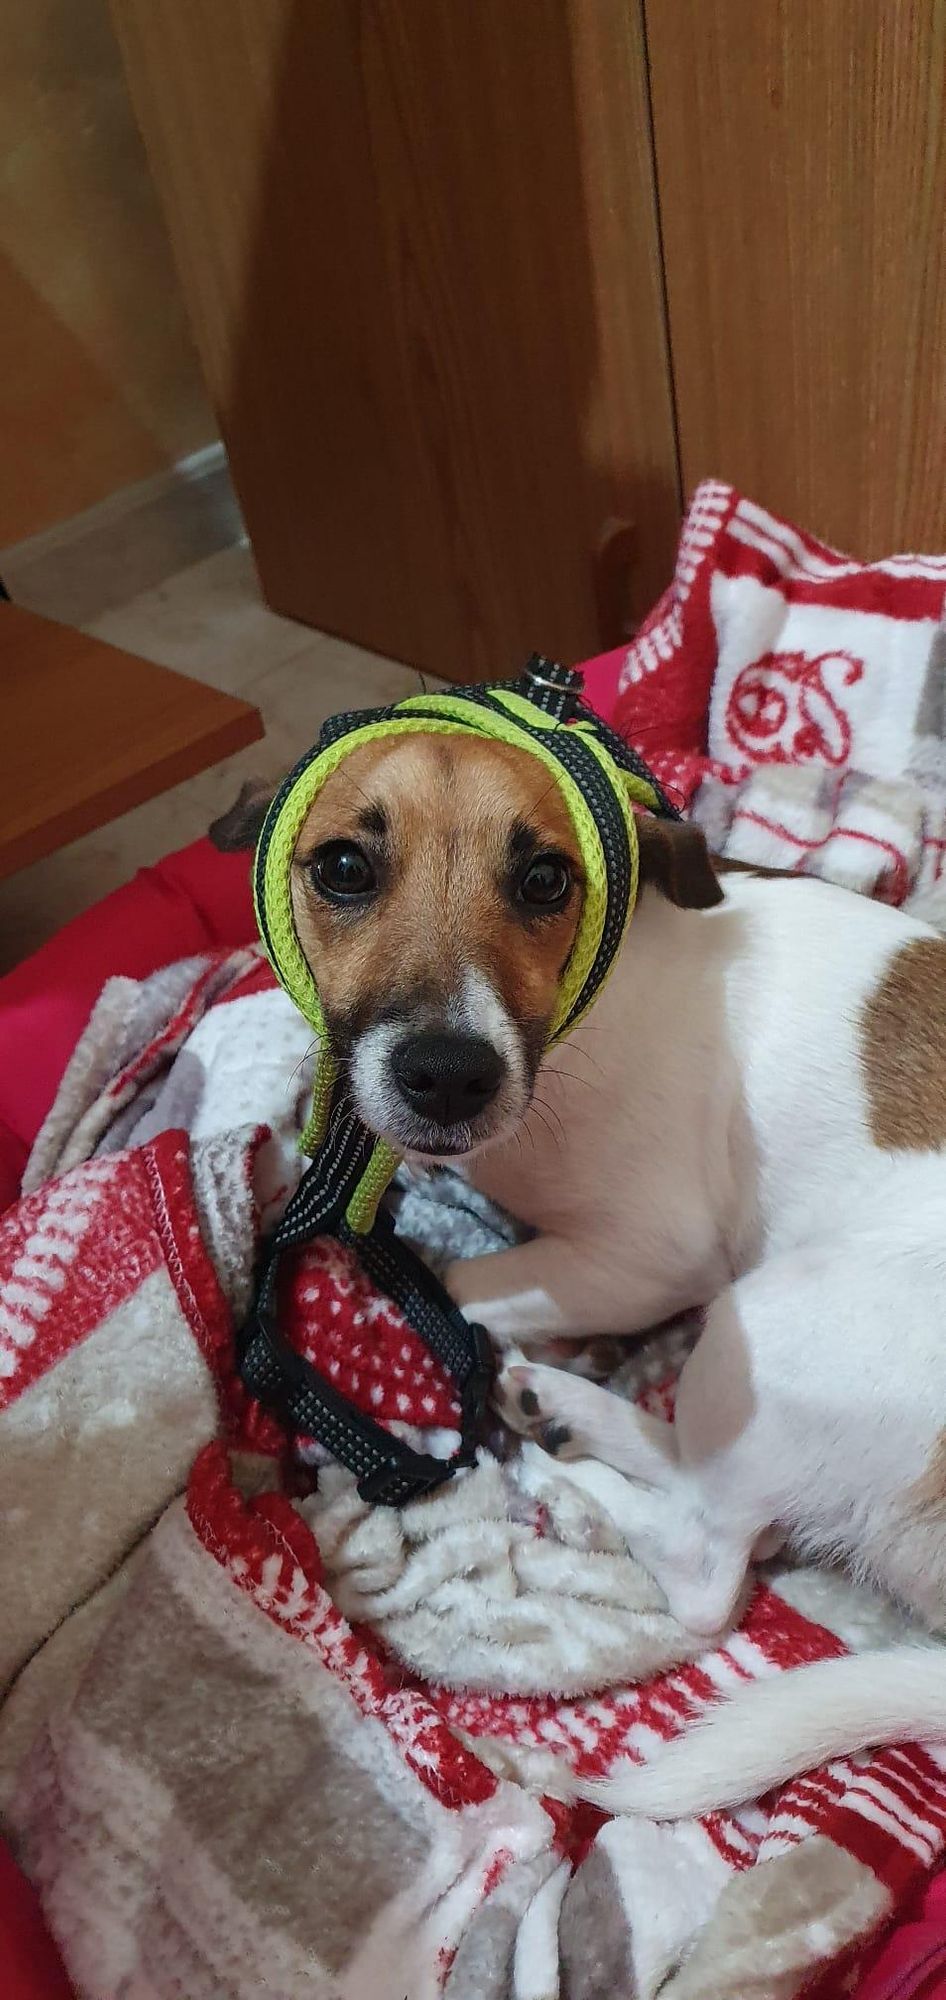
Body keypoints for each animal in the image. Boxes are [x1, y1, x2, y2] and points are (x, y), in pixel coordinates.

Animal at [214, 732, 944, 1816]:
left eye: (545, 879)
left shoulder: (651, 1252)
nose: (448, 1075)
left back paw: (566, 1465)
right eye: (343, 867)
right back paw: (559, 1410)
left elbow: (455, 1282)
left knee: (708, 1561)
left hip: (774, 1323)